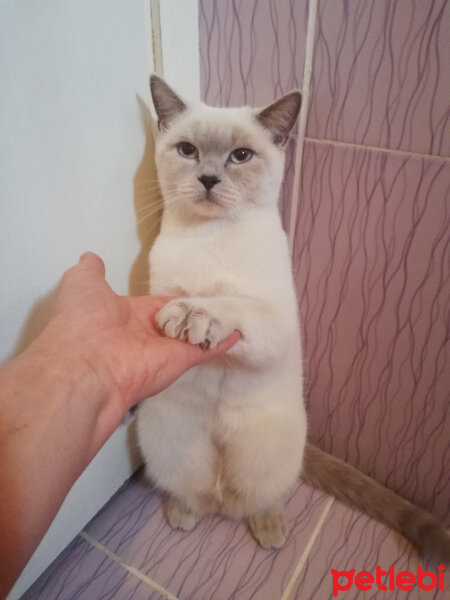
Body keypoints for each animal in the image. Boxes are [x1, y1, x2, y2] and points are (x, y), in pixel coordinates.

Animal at [136, 76, 450, 564]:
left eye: (240, 156)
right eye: (187, 150)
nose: (208, 179)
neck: (214, 234)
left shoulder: (275, 321)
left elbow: (229, 306)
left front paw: (196, 315)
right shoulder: (159, 290)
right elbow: (178, 300)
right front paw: (184, 315)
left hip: (270, 452)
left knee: (258, 497)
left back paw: (270, 529)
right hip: (168, 440)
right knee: (201, 493)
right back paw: (184, 511)